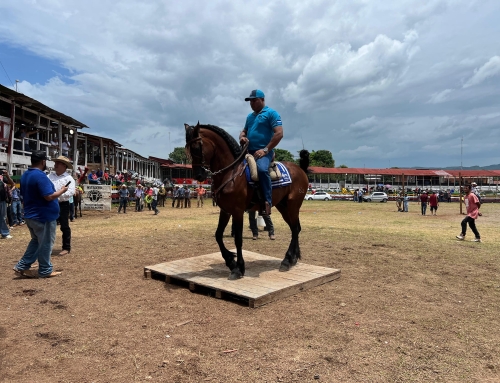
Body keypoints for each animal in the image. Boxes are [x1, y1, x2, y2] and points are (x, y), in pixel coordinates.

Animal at [184, 124, 308, 280]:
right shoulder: (225, 210)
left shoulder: (237, 211)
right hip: (283, 207)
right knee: (295, 228)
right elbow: (218, 235)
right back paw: (292, 258)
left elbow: (238, 239)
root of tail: (300, 169)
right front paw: (231, 261)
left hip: (293, 205)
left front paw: (238, 268)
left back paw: (287, 260)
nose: (198, 175)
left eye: (197, 146)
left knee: (295, 229)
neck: (231, 173)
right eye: (188, 149)